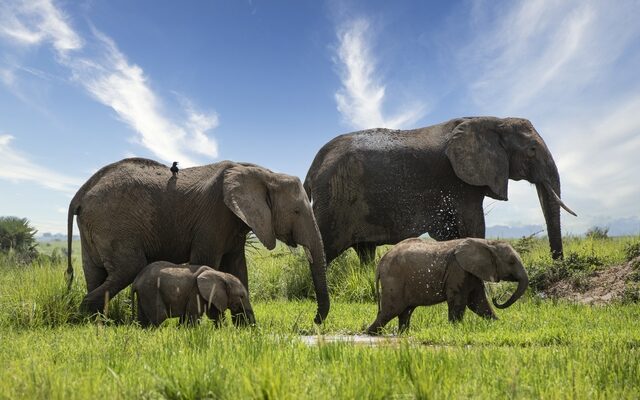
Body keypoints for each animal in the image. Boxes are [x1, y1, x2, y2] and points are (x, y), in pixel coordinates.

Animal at [67, 158, 330, 324]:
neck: (266, 174)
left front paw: (247, 329)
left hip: (93, 227)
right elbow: (208, 261)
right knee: (128, 267)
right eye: (296, 211)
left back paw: (94, 321)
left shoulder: (235, 222)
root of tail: (80, 194)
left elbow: (237, 268)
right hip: (113, 223)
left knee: (95, 273)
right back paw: (89, 321)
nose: (315, 320)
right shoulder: (213, 218)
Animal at [302, 116, 576, 266]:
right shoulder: (460, 182)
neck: (495, 120)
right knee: (325, 248)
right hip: (335, 201)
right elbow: (473, 225)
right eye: (532, 150)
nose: (557, 266)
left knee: (364, 251)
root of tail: (313, 166)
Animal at [368, 238, 528, 334]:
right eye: (511, 262)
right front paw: (456, 329)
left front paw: (499, 325)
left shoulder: (471, 272)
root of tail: (381, 262)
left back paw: (403, 333)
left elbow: (478, 303)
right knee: (391, 310)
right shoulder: (457, 270)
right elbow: (460, 302)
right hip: (394, 280)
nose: (496, 298)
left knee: (405, 311)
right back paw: (371, 333)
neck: (487, 242)